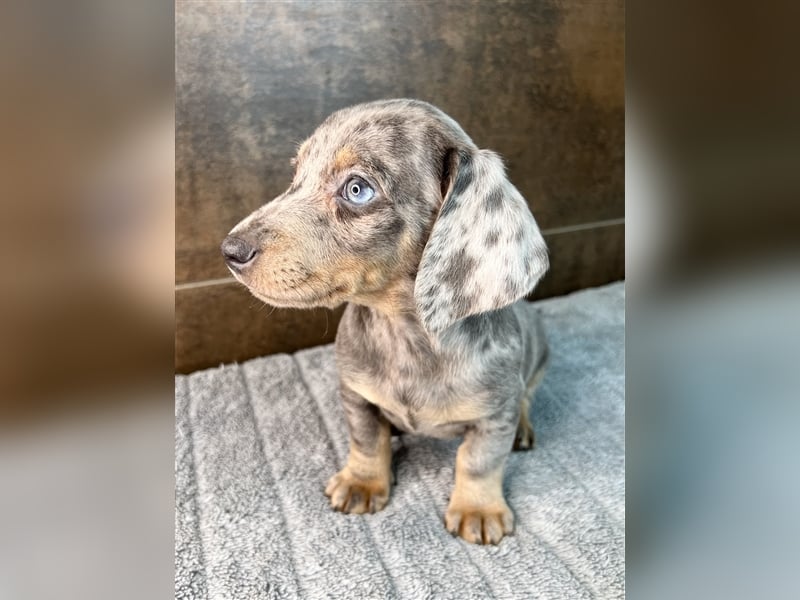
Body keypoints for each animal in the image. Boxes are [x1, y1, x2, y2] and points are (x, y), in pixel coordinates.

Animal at [223, 98, 552, 544]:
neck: (405, 335)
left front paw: (478, 508)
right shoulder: (355, 393)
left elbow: (479, 460)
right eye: (296, 174)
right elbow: (366, 440)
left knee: (526, 397)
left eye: (357, 189)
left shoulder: (493, 414)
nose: (229, 251)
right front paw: (362, 481)